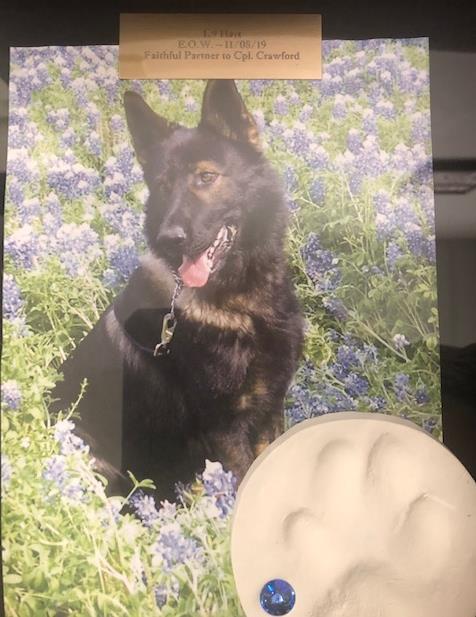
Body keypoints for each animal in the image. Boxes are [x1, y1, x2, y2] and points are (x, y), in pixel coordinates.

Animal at [50, 79, 304, 498]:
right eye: (163, 185)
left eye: (206, 177)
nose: (170, 238)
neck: (243, 305)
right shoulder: (223, 426)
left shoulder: (269, 408)